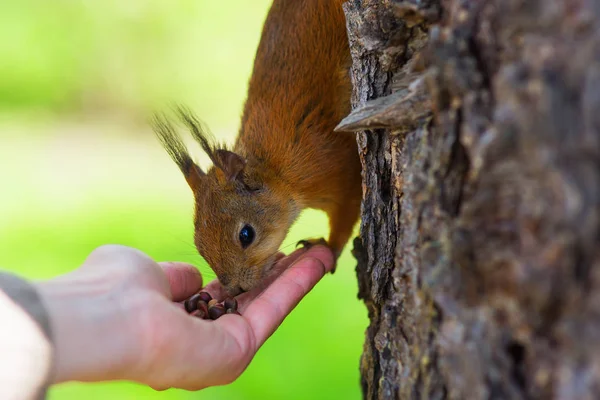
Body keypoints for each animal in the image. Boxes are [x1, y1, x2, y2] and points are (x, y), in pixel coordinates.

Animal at [155, 0, 360, 296]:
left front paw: (328, 246)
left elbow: (346, 217)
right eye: (198, 243)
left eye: (246, 235)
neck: (281, 172)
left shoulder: (341, 173)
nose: (236, 290)